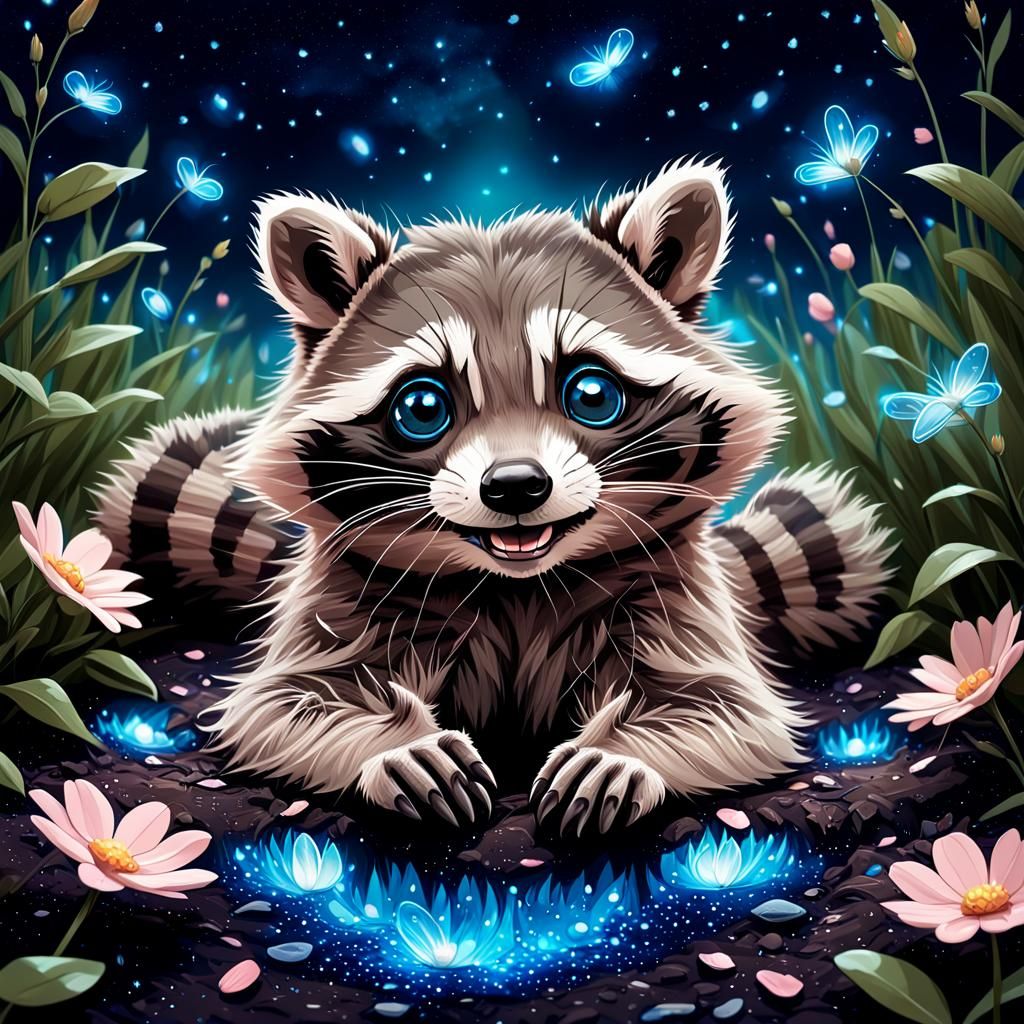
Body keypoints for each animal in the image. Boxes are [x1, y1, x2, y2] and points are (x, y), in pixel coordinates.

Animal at [94, 158, 892, 836]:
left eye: (591, 393)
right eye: (423, 407)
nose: (515, 485)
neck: (516, 583)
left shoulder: (670, 596)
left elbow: (725, 707)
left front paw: (625, 750)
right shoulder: (352, 598)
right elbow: (286, 702)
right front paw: (391, 744)